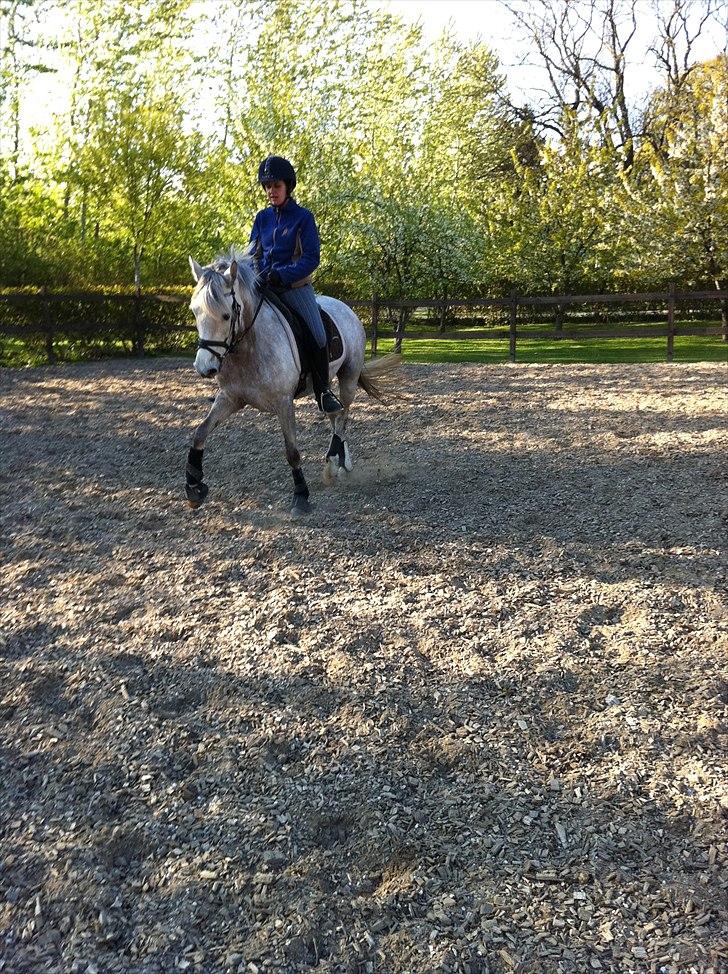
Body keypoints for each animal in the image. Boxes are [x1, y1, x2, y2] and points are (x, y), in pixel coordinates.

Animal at [186, 250, 401, 515]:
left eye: (226, 315)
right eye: (194, 312)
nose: (204, 367)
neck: (248, 346)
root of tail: (345, 307)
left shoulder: (283, 402)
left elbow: (292, 452)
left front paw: (301, 496)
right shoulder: (230, 398)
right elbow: (200, 433)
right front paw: (193, 487)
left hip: (348, 378)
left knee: (343, 417)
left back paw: (333, 463)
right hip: (324, 386)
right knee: (335, 415)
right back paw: (342, 462)